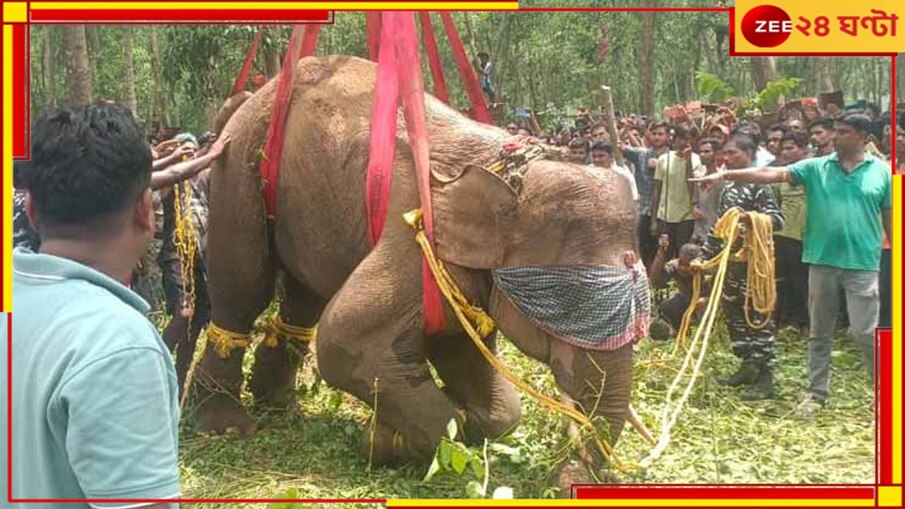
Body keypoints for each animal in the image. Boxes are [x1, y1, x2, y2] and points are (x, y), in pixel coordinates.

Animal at [193, 55, 649, 473]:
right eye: (569, 300)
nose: (565, 477)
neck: (508, 169)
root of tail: (252, 97)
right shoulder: (413, 242)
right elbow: (345, 339)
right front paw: (381, 440)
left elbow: (475, 369)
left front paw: (449, 422)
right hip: (240, 165)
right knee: (243, 288)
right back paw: (227, 426)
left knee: (303, 300)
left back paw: (278, 404)